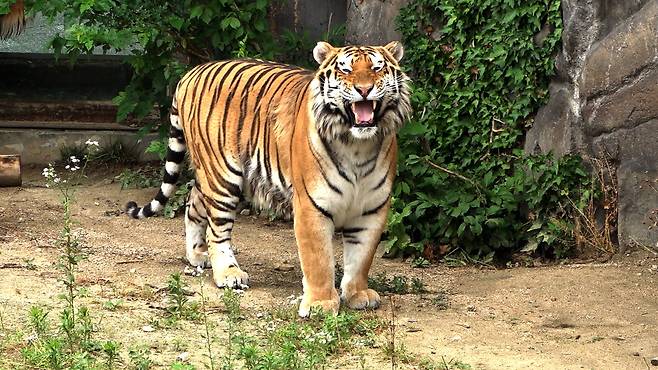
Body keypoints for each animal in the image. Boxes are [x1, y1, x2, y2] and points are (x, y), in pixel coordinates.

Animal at [125, 42, 410, 316]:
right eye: (346, 70)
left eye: (376, 68)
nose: (364, 89)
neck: (358, 146)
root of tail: (191, 73)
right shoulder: (311, 206)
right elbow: (318, 260)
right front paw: (320, 304)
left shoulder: (373, 209)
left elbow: (361, 257)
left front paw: (356, 294)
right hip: (223, 177)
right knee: (217, 231)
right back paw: (228, 273)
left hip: (217, 176)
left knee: (193, 202)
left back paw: (197, 255)